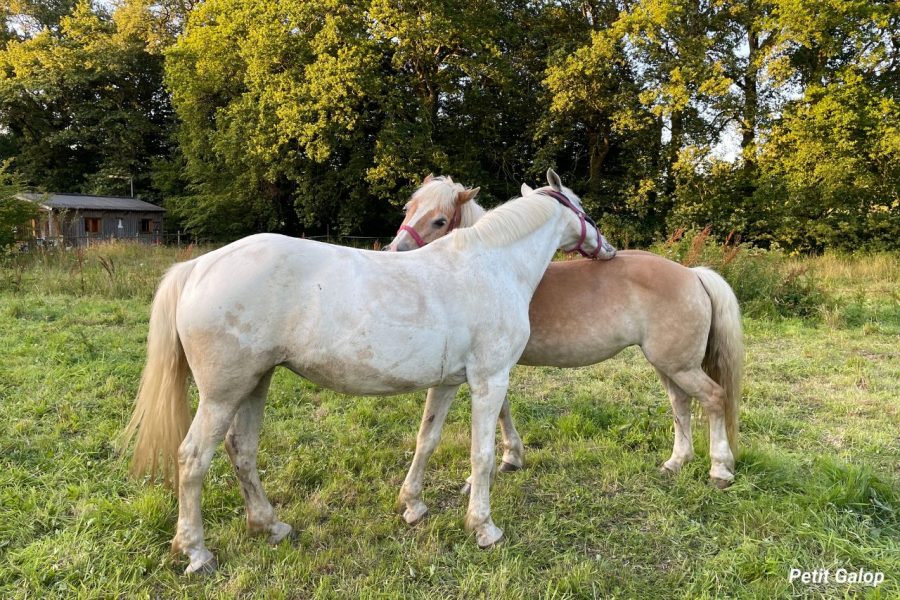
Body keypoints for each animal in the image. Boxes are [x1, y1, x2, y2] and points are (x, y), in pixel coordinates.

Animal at [122, 169, 614, 574]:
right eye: (585, 211)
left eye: (439, 219)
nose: (607, 250)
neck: (491, 265)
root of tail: (198, 267)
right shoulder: (489, 381)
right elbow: (483, 455)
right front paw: (483, 527)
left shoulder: (449, 383)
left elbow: (427, 438)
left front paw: (413, 505)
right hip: (222, 395)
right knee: (192, 459)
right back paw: (196, 552)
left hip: (254, 385)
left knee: (241, 451)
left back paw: (270, 526)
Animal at [386, 176, 743, 516]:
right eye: (407, 208)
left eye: (440, 221)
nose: (394, 252)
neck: (496, 266)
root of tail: (692, 274)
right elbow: (503, 410)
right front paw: (511, 458)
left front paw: (482, 476)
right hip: (669, 364)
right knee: (680, 404)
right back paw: (676, 462)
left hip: (680, 366)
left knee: (713, 398)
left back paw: (720, 470)